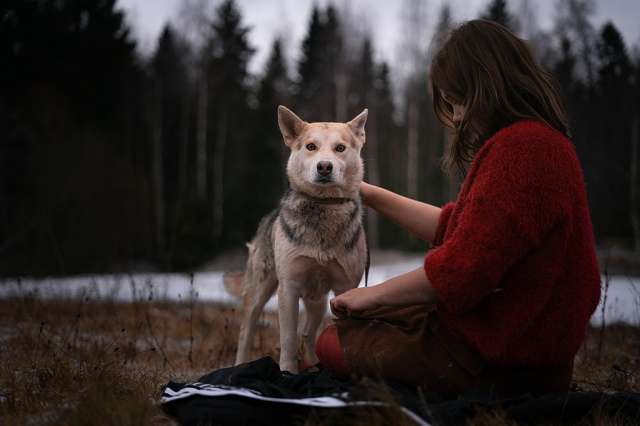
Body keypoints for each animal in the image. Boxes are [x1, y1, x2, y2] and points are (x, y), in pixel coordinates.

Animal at [226, 106, 368, 372]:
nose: (324, 167)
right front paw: (288, 372)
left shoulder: (345, 288)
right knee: (245, 332)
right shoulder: (289, 288)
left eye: (340, 148)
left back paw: (313, 363)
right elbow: (288, 339)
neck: (324, 207)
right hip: (260, 290)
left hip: (318, 301)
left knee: (308, 334)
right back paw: (241, 364)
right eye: (311, 146)